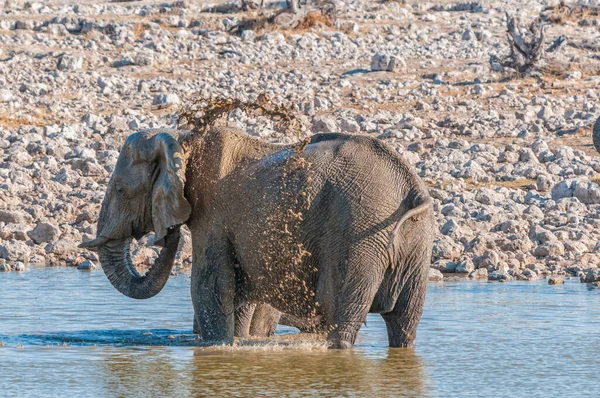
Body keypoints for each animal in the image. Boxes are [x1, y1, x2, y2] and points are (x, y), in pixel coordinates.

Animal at [81, 127, 436, 348]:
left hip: (358, 234)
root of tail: (413, 190)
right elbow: (238, 296)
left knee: (340, 319)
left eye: (120, 190)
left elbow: (209, 288)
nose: (165, 234)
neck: (184, 140)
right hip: (414, 243)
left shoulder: (213, 214)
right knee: (404, 323)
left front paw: (217, 345)